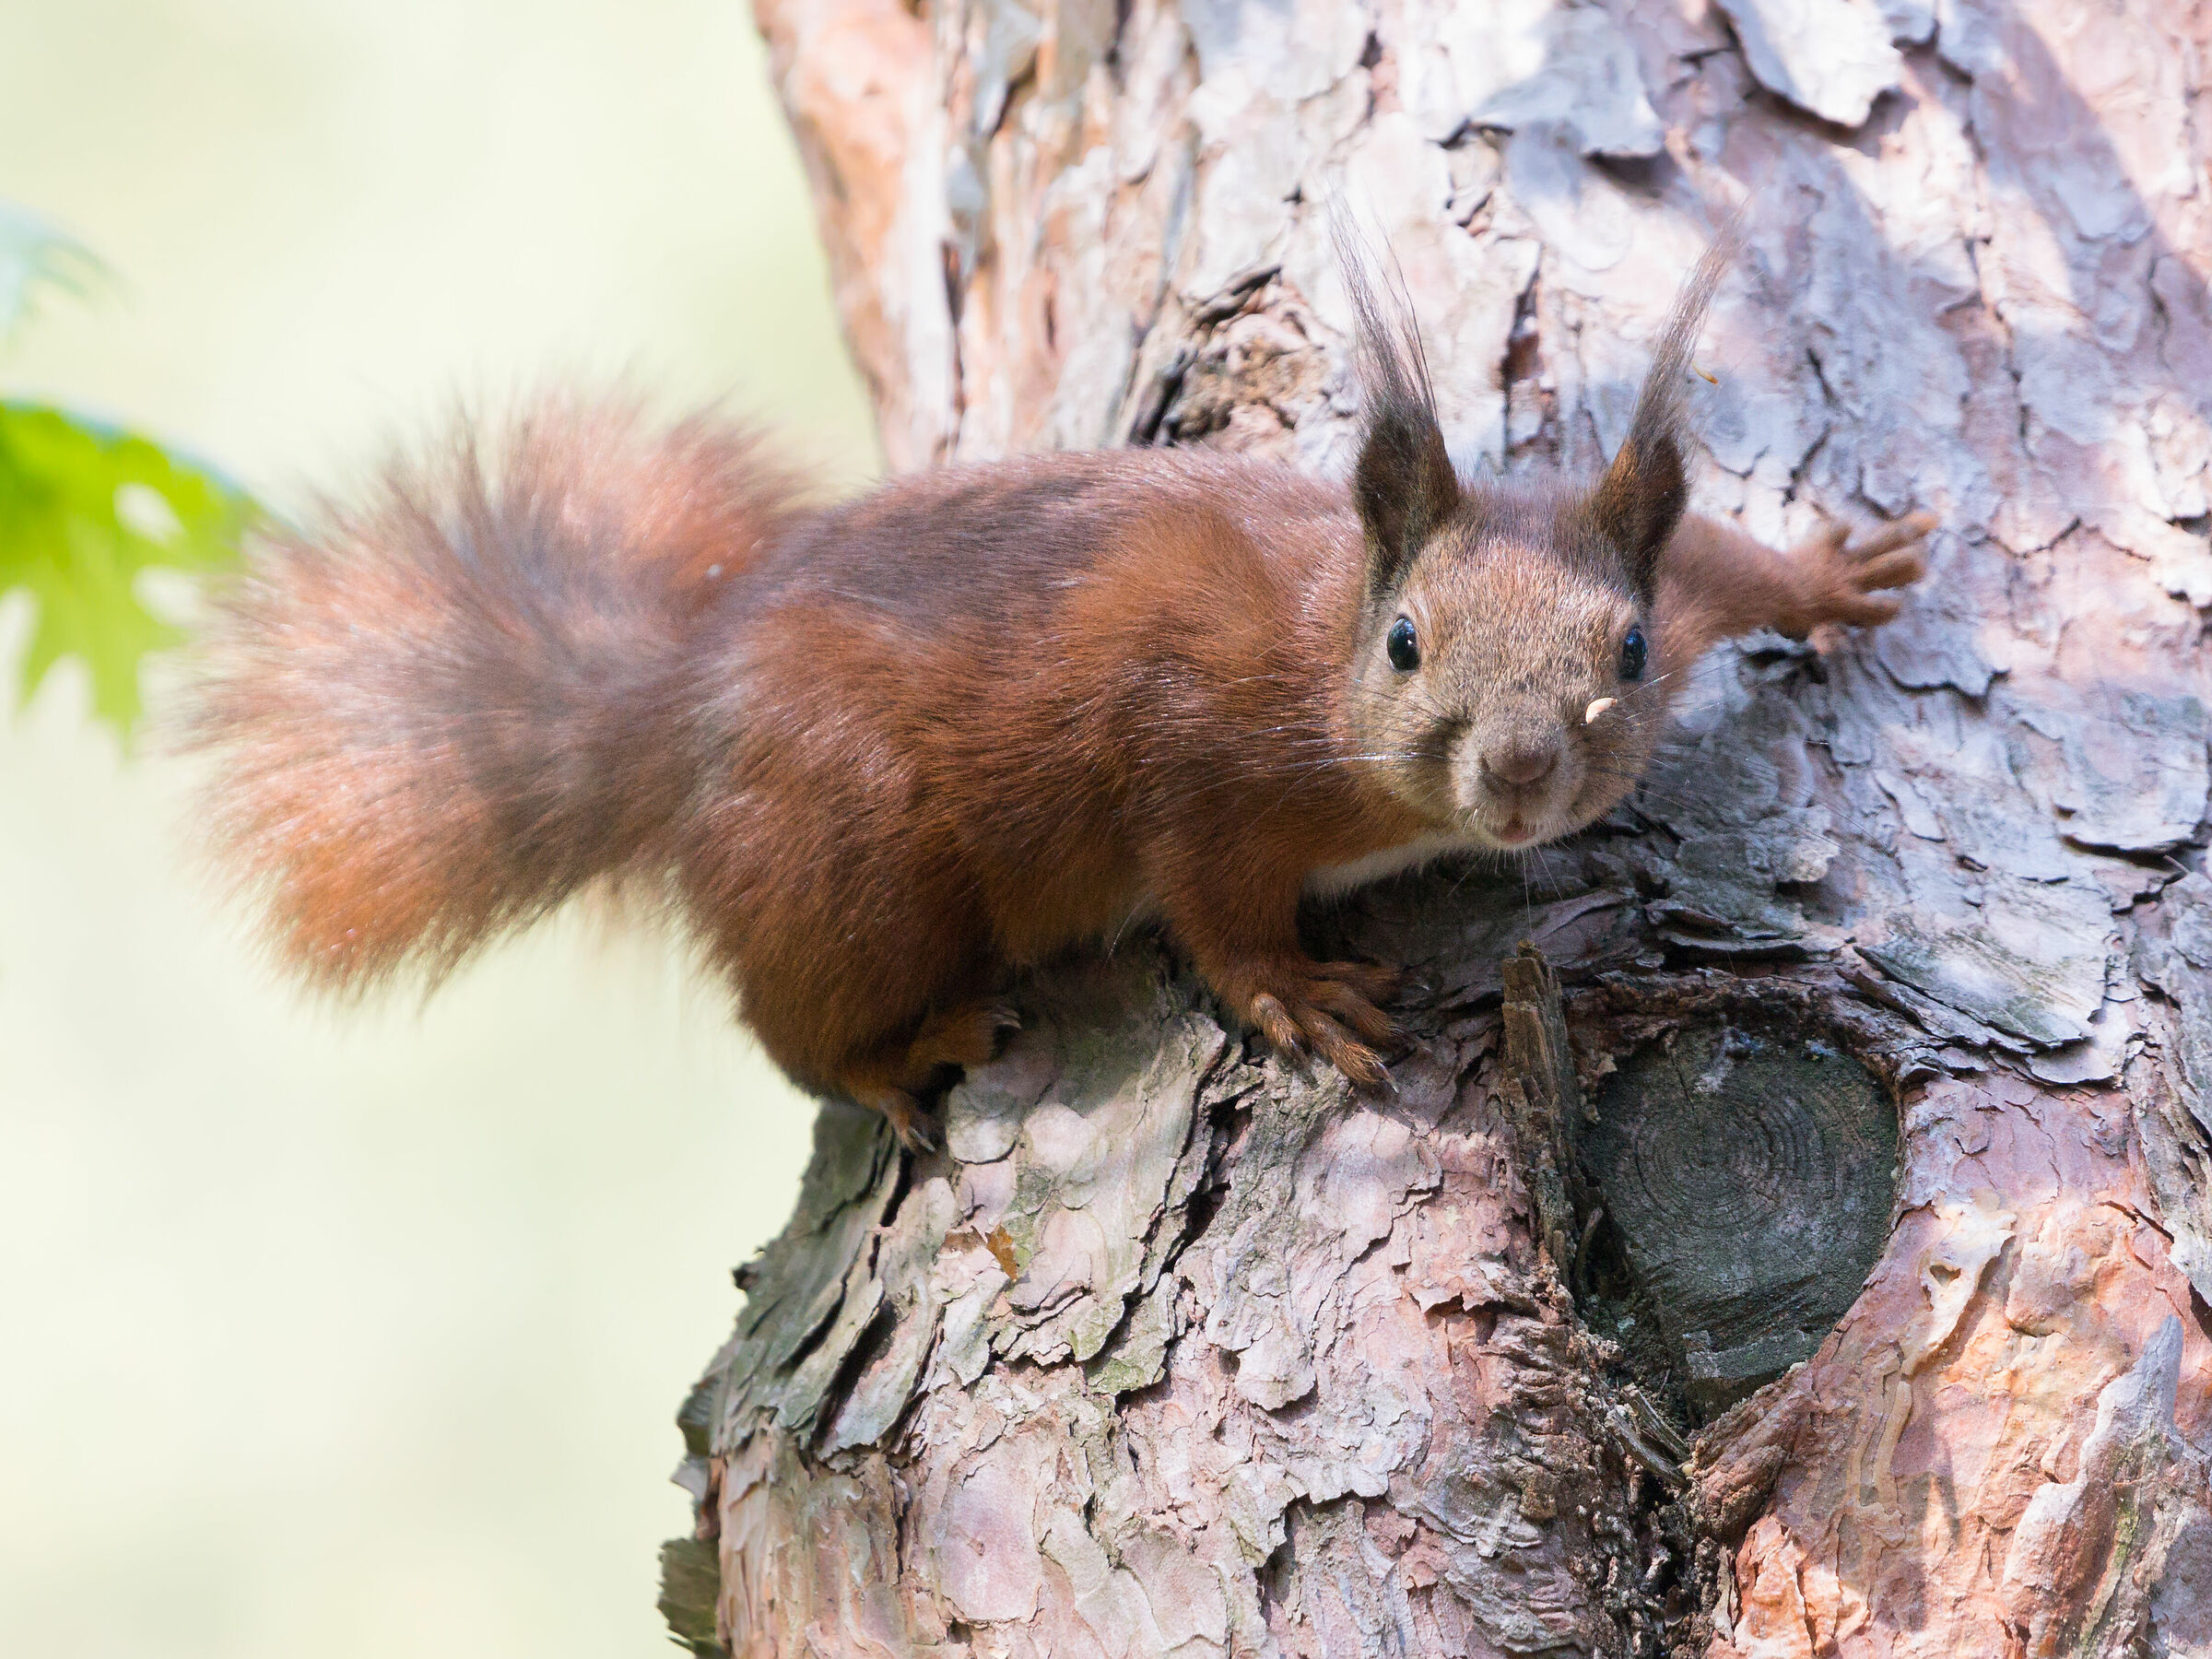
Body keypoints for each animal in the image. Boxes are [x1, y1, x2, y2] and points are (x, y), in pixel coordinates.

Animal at [187, 234, 1931, 1149]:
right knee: (790, 1022)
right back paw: (896, 1053)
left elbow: (1727, 565)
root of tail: (683, 708)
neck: (1314, 650)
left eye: (1624, 656)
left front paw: (1839, 573)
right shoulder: (1196, 759)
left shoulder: (1674, 586)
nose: (1512, 777)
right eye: (1406, 643)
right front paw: (1294, 993)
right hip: (851, 855)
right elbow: (1210, 901)